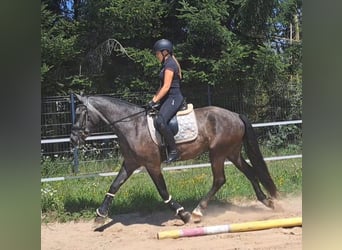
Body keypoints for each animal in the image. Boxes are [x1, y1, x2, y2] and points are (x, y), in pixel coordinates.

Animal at [70, 93, 278, 224]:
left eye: (81, 114)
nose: (73, 138)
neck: (132, 125)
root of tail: (235, 114)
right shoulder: (130, 163)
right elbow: (114, 185)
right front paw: (100, 215)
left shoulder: (152, 164)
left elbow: (162, 191)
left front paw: (183, 214)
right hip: (232, 152)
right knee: (250, 172)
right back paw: (267, 201)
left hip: (218, 153)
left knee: (219, 179)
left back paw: (197, 211)